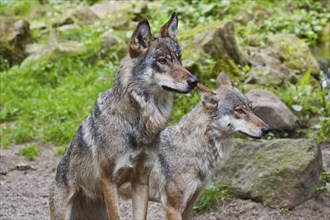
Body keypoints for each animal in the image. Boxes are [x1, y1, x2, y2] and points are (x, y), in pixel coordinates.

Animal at [49, 12, 199, 220]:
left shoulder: (141, 181)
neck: (137, 122)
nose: (194, 81)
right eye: (162, 61)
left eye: (179, 58)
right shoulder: (109, 181)